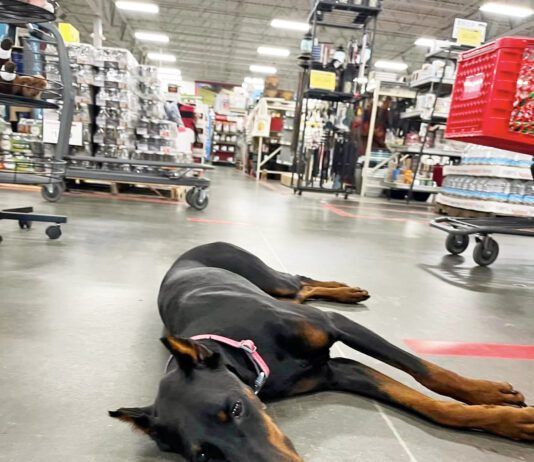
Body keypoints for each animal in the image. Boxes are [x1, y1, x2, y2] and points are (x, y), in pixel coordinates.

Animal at [111, 240, 532, 460]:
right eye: (204, 455)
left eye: (235, 409)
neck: (246, 351)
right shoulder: (339, 372)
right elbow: (430, 407)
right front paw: (507, 421)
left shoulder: (333, 325)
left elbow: (426, 371)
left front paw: (487, 393)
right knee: (301, 287)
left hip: (268, 279)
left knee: (298, 281)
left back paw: (346, 290)